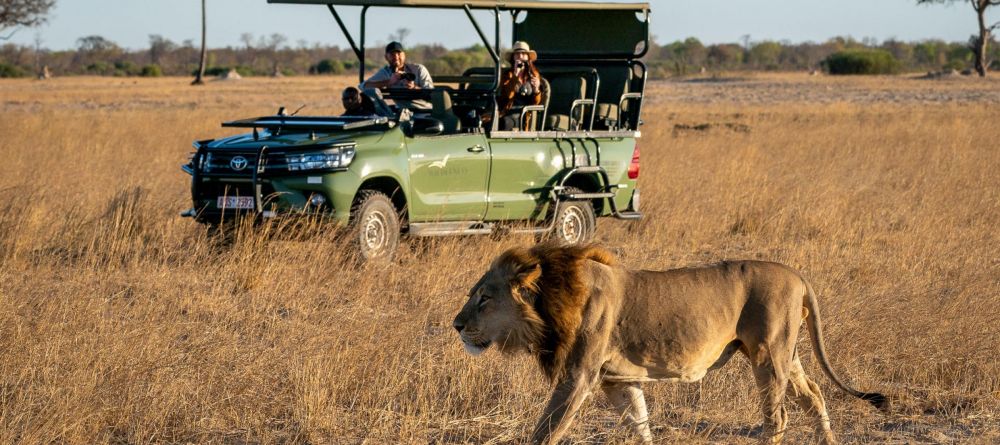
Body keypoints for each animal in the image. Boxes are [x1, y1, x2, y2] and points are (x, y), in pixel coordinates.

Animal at [454, 243, 884, 444]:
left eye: (484, 299)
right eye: (474, 294)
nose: (456, 325)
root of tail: (796, 274)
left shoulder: (578, 376)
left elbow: (547, 430)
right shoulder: (619, 381)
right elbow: (640, 425)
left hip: (768, 354)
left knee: (777, 418)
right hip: (787, 354)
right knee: (814, 396)